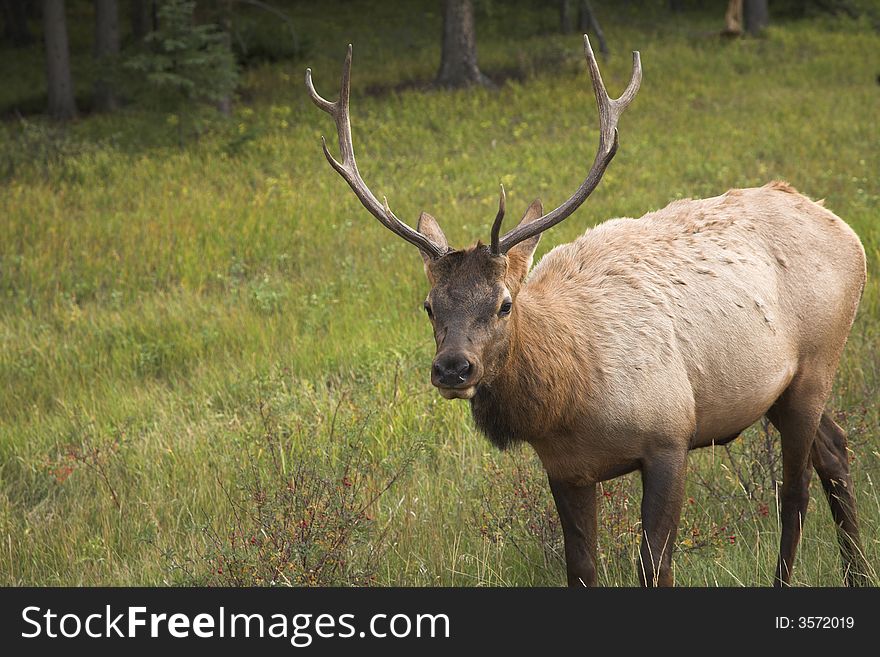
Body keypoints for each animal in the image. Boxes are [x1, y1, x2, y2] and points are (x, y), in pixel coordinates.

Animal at [306, 38, 868, 588]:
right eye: (428, 306)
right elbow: (579, 568)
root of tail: (847, 230)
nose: (452, 368)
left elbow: (654, 565)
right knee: (836, 450)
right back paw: (858, 572)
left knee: (796, 491)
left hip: (817, 363)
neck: (569, 404)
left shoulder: (670, 435)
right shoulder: (566, 469)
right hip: (779, 389)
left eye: (504, 303)